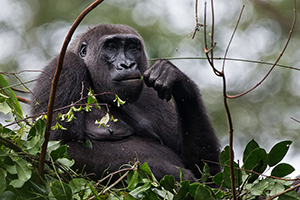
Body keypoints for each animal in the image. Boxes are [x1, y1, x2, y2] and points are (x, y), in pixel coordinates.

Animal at [31, 23, 220, 181]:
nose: (127, 64)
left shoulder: (149, 91)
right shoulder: (64, 68)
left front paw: (178, 80)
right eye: (111, 47)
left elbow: (205, 168)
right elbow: (61, 149)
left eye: (132, 47)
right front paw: (162, 170)